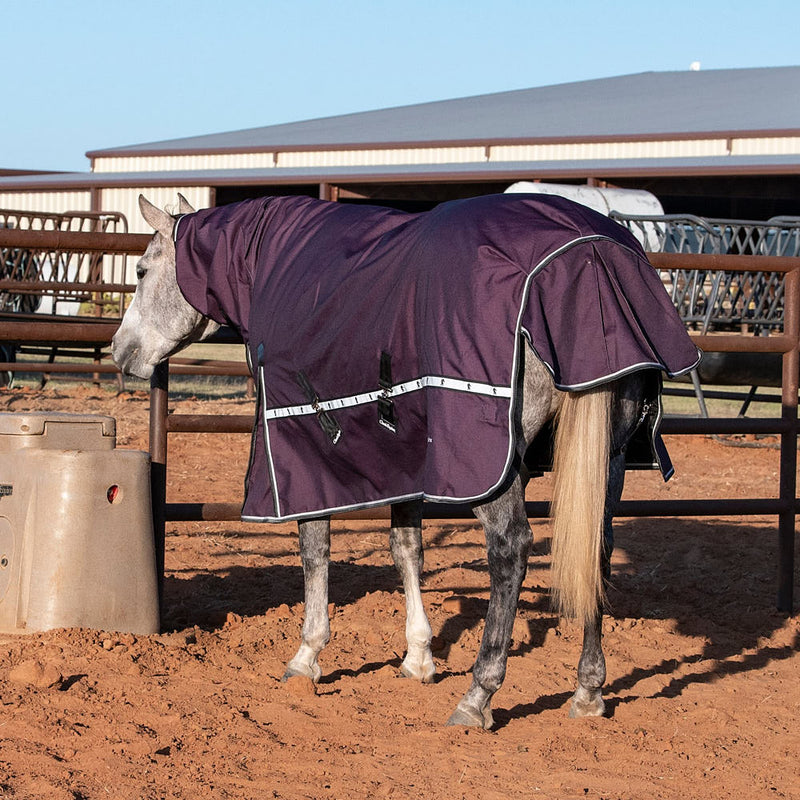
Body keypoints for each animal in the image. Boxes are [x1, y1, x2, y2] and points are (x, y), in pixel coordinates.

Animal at [112, 193, 698, 728]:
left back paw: (478, 696)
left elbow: (315, 549)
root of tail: (590, 254)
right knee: (597, 547)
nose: (120, 352)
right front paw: (418, 657)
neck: (269, 266)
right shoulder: (403, 454)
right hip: (609, 461)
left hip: (494, 471)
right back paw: (588, 690)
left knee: (511, 549)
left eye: (141, 270)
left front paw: (307, 656)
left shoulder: (300, 449)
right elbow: (406, 548)